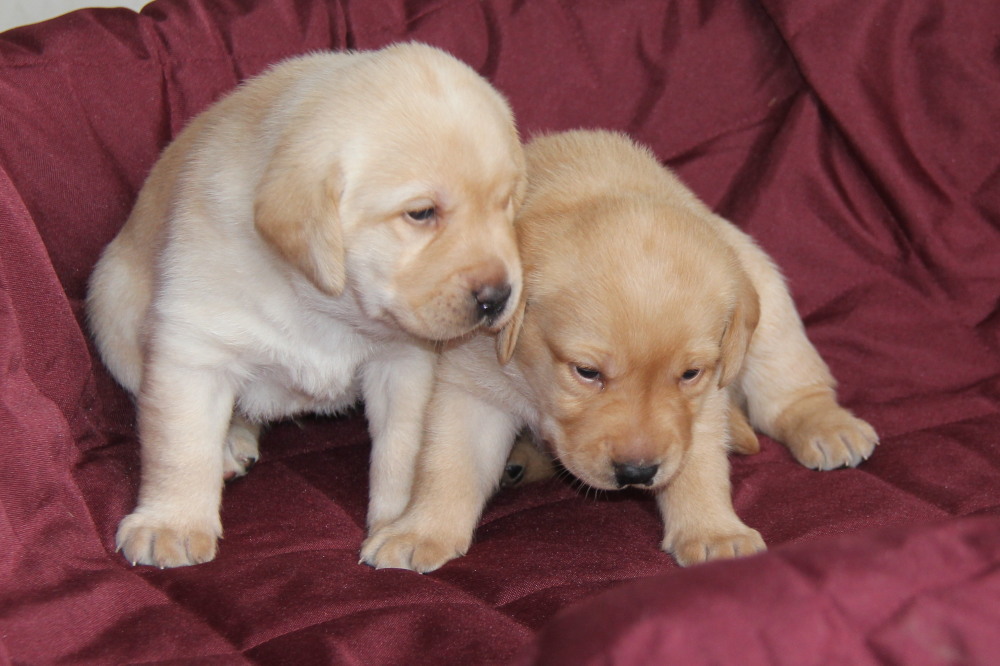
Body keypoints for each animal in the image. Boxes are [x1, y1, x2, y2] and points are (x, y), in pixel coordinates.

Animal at [87, 42, 528, 564]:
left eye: (505, 204)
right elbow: (180, 443)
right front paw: (170, 522)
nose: (498, 298)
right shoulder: (192, 344)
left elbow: (403, 449)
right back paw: (228, 446)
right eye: (421, 213)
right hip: (110, 305)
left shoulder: (405, 366)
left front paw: (401, 520)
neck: (324, 305)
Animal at [364, 131, 880, 572]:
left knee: (787, 389)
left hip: (767, 299)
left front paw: (713, 532)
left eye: (689, 374)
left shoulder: (702, 402)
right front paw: (420, 531)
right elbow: (448, 463)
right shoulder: (471, 384)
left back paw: (827, 425)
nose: (637, 471)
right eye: (586, 372)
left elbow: (698, 464)